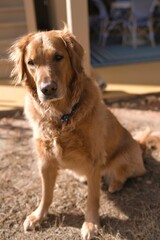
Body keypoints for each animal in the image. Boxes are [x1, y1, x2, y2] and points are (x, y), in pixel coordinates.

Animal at [9, 27, 146, 239]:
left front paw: (91, 224)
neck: (61, 117)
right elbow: (46, 194)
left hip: (125, 159)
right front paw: (38, 216)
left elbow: (93, 198)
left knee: (122, 175)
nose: (48, 89)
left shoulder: (94, 161)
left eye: (58, 57)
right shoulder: (45, 161)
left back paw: (114, 184)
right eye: (31, 63)